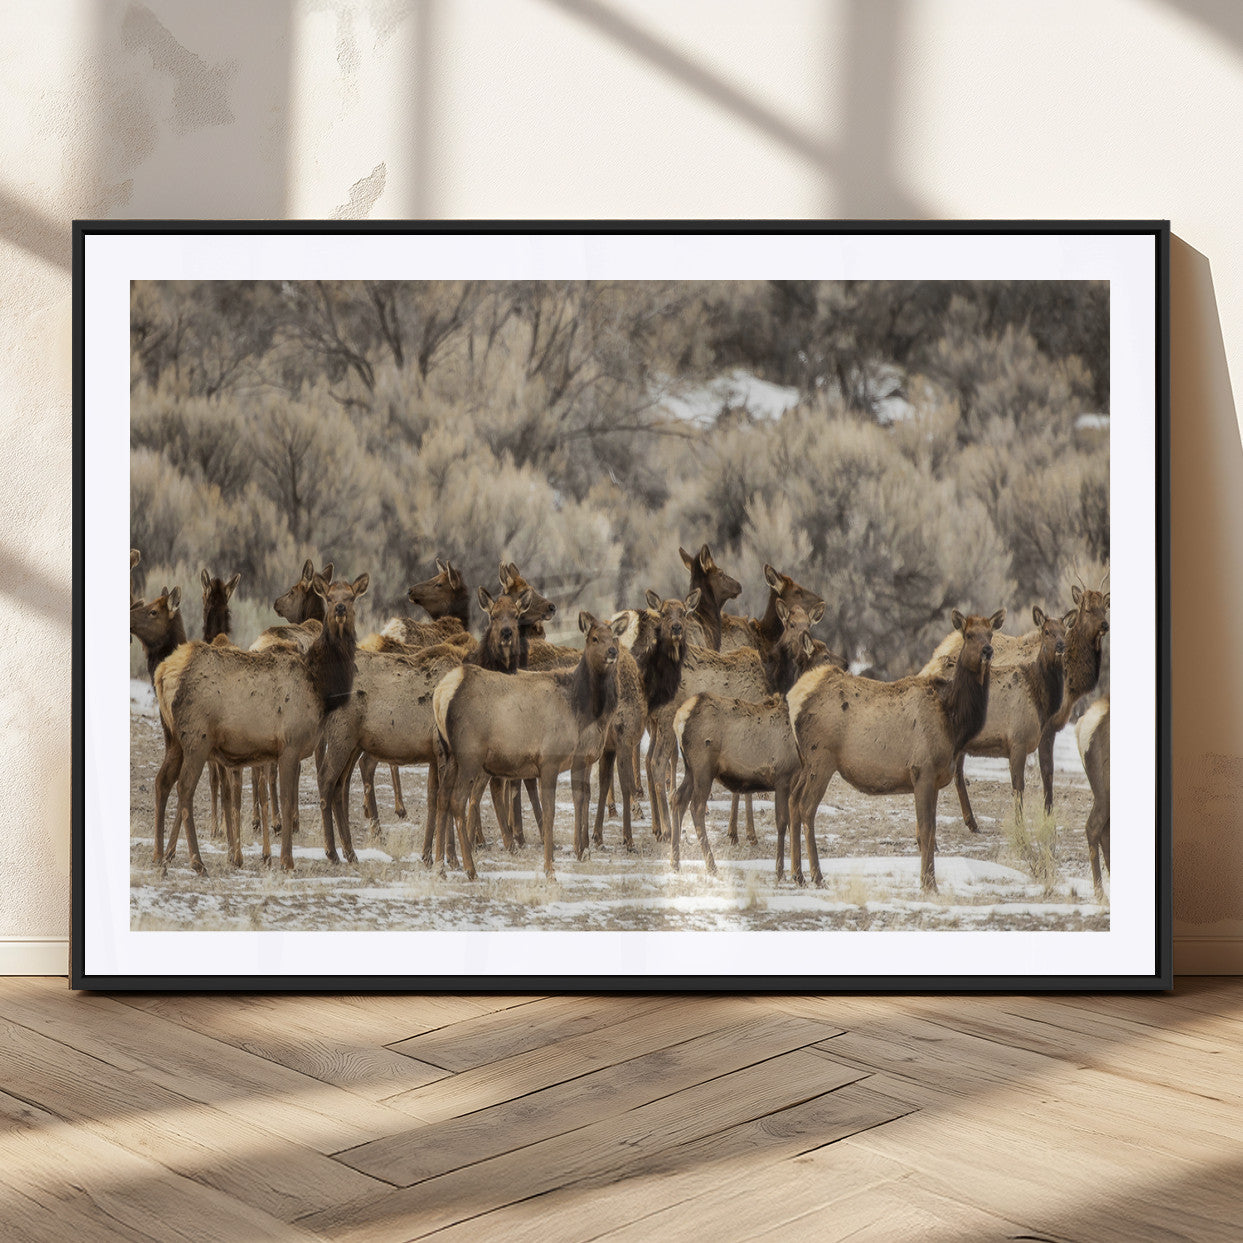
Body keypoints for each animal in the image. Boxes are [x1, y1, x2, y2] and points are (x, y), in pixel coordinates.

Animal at [153, 572, 369, 874]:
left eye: (351, 597)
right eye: (329, 597)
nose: (339, 609)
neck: (321, 686)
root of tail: (162, 673)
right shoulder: (290, 745)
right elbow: (287, 803)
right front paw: (287, 861)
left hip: (172, 737)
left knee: (161, 782)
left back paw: (159, 855)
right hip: (196, 738)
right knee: (184, 788)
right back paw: (197, 861)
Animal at [432, 611, 627, 880]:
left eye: (615, 637)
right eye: (594, 638)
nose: (612, 651)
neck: (582, 711)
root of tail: (442, 693)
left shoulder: (580, 760)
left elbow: (581, 798)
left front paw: (581, 852)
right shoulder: (549, 759)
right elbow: (550, 812)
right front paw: (549, 868)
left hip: (450, 753)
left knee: (442, 798)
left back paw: (440, 866)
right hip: (470, 754)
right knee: (458, 801)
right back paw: (470, 869)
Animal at [670, 601, 828, 875]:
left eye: (810, 624)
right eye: (790, 624)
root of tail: (681, 717)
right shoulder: (782, 775)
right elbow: (782, 820)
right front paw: (780, 869)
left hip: (690, 767)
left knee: (678, 799)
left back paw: (676, 861)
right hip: (703, 766)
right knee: (695, 806)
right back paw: (711, 864)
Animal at [787, 608, 1005, 892]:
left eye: (990, 633)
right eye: (968, 635)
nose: (988, 650)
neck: (953, 722)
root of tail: (794, 698)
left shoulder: (935, 778)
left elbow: (928, 833)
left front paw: (929, 881)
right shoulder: (922, 770)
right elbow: (926, 830)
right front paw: (928, 884)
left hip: (806, 762)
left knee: (792, 801)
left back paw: (796, 874)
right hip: (820, 759)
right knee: (806, 807)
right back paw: (816, 876)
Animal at [923, 605, 1073, 833]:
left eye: (1064, 631)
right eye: (1047, 631)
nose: (1061, 646)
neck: (1041, 702)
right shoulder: (1018, 740)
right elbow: (1018, 788)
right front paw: (1020, 829)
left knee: (956, 773)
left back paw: (972, 823)